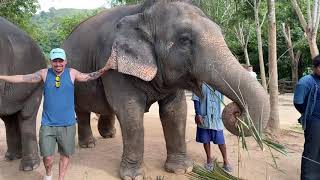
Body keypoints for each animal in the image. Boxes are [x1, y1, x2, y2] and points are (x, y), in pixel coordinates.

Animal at [62, 0, 270, 179]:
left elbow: (175, 111)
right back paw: (89, 145)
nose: (237, 111)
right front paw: (133, 176)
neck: (142, 12)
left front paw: (181, 170)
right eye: (185, 40)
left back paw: (109, 135)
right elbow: (129, 111)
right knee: (81, 110)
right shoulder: (115, 63)